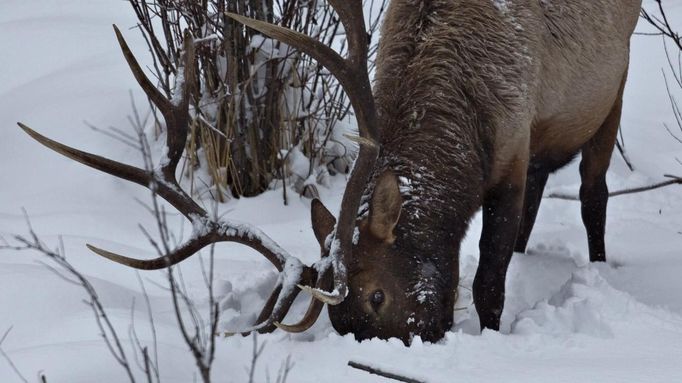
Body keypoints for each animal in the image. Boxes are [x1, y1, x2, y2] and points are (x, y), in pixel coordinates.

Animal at [17, 0, 644, 344]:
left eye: (376, 297)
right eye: (340, 325)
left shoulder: (512, 145)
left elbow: (489, 282)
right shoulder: (521, 146)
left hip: (615, 79)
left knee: (592, 190)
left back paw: (598, 264)